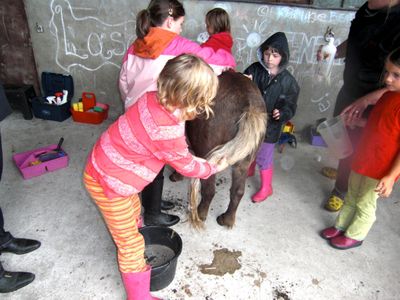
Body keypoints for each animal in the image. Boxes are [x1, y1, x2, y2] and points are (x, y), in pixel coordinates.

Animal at [171, 71, 268, 229]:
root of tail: (248, 106)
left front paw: (176, 176)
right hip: (243, 162)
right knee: (238, 191)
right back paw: (226, 219)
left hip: (207, 153)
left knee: (209, 190)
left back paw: (200, 214)